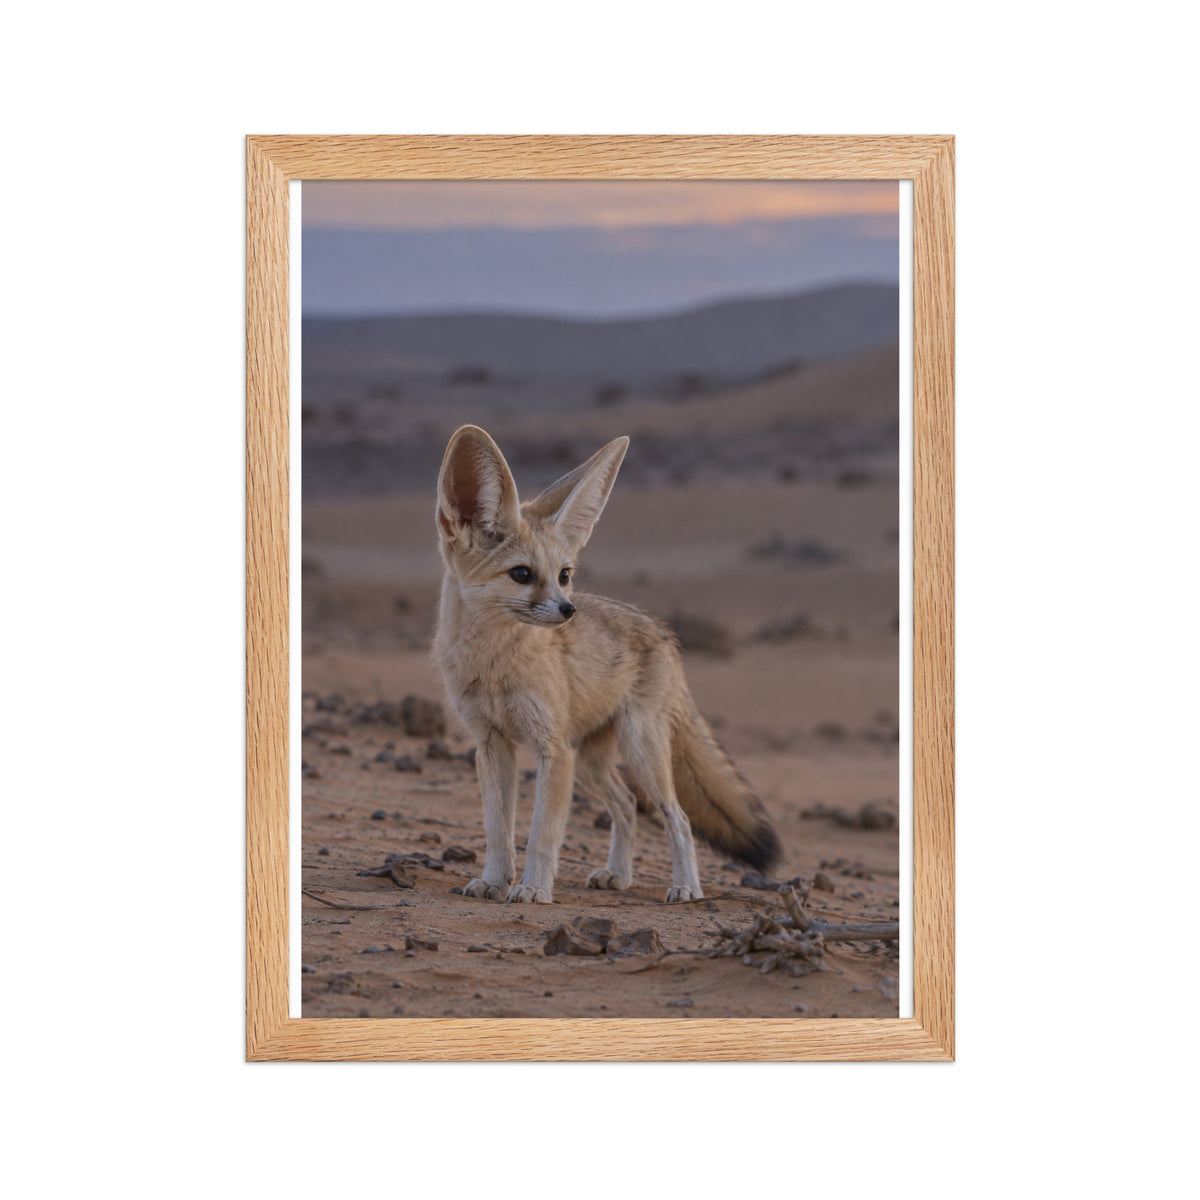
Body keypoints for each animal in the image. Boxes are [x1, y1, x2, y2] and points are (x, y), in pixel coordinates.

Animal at [432, 425, 781, 904]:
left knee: (678, 817)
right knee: (627, 805)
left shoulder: (552, 749)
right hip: (591, 763)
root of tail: (663, 631)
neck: (494, 665)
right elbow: (497, 830)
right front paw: (494, 880)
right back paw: (619, 874)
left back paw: (687, 888)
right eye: (521, 574)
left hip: (638, 750)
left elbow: (542, 833)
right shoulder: (490, 743)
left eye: (564, 575)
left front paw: (533, 888)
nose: (568, 611)